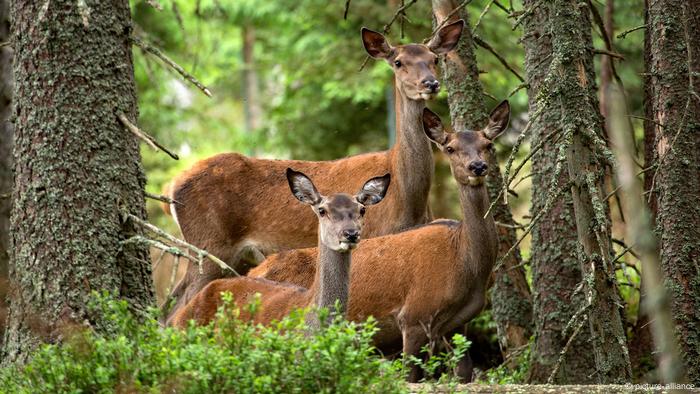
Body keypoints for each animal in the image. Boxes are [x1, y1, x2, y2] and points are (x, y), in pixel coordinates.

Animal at [249, 101, 512, 382]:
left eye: (488, 145)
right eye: (450, 148)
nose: (477, 167)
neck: (466, 262)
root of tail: (256, 269)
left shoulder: (458, 325)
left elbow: (464, 374)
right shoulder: (414, 316)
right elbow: (410, 376)